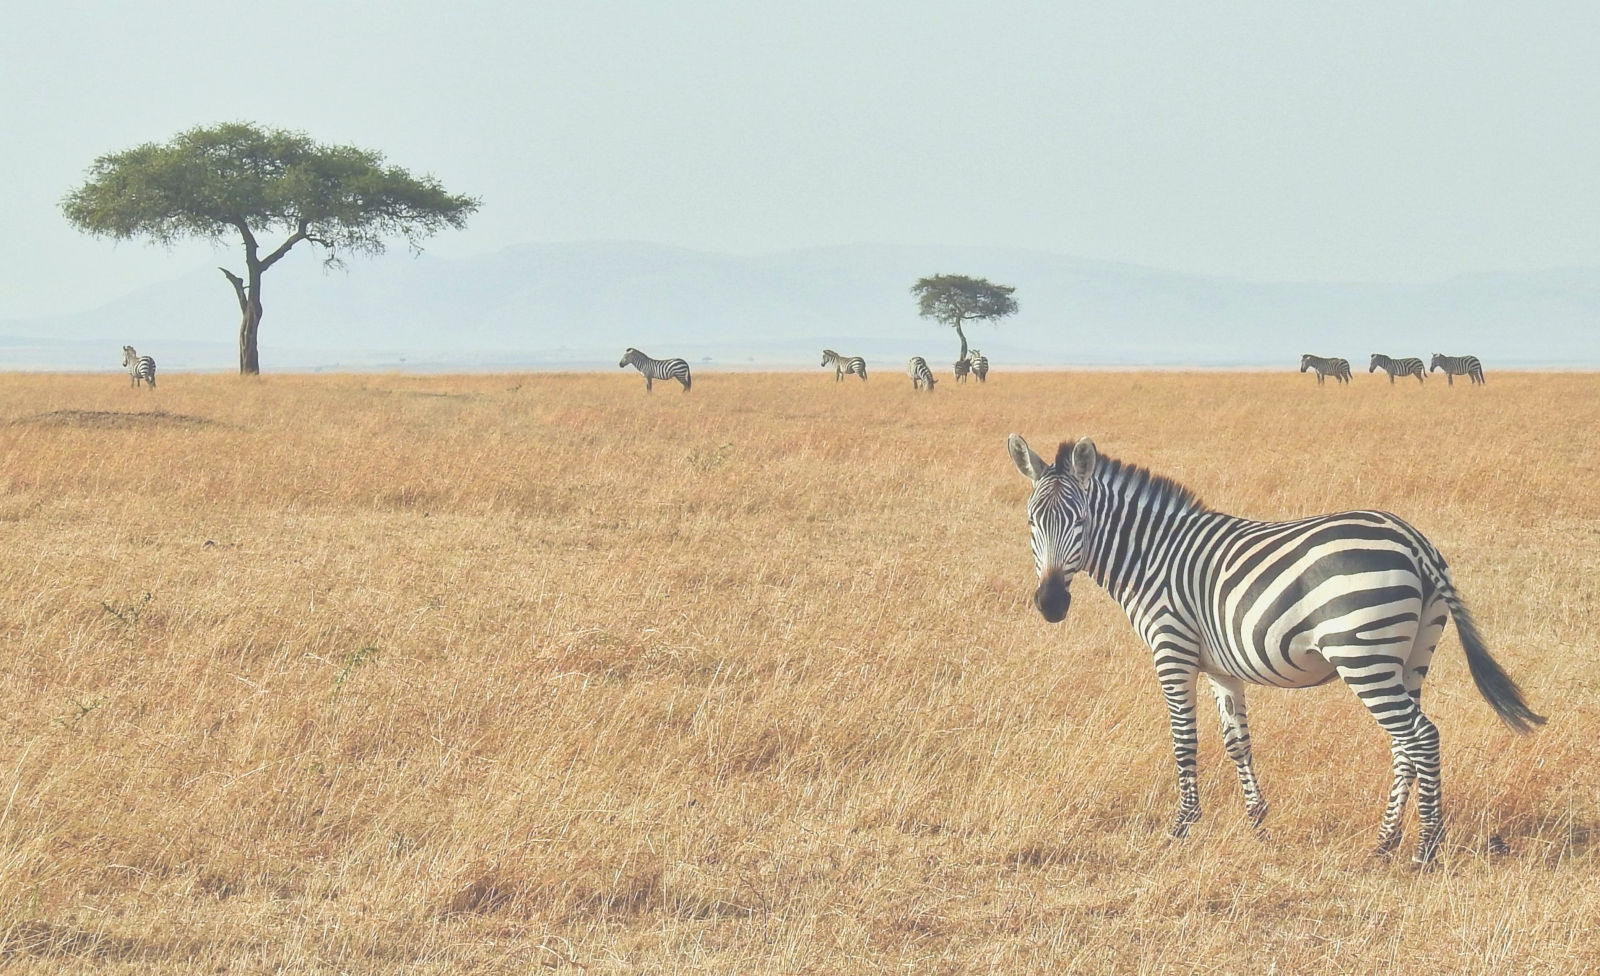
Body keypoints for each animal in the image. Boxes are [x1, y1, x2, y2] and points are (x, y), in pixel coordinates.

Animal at [1004, 432, 1542, 857]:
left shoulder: (1172, 649)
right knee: (1405, 742)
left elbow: (1184, 740)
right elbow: (1237, 742)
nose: (1051, 604)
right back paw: (1385, 842)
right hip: (1412, 656)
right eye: (1031, 523)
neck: (1153, 555)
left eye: (1078, 522)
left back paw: (1425, 848)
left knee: (1422, 736)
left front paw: (1181, 827)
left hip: (1362, 653)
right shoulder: (1221, 667)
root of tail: (1412, 539)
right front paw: (1258, 825)